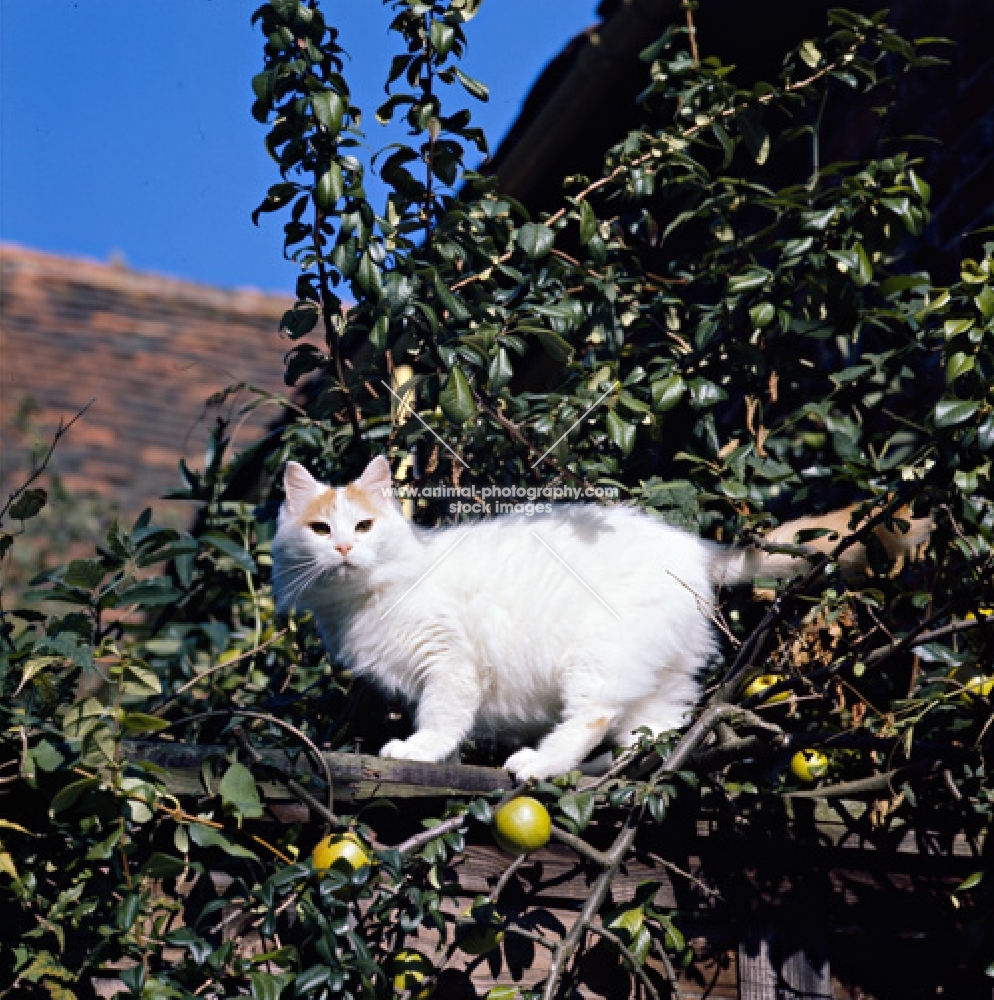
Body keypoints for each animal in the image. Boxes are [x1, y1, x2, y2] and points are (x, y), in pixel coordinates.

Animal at [270, 458, 924, 776]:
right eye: (321, 530)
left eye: (363, 527)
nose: (343, 549)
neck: (368, 597)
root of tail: (692, 546)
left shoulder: (450, 662)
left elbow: (442, 717)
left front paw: (421, 752)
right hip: (659, 674)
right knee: (658, 724)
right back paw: (633, 761)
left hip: (593, 661)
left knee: (591, 717)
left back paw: (537, 764)